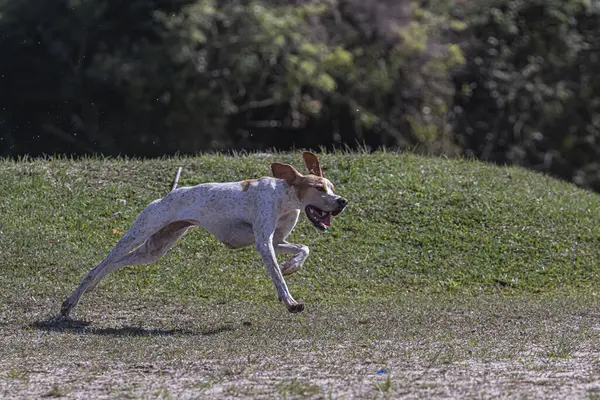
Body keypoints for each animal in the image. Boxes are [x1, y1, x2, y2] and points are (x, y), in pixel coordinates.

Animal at [58, 152, 350, 318]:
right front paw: (290, 301)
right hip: (137, 234)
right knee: (98, 266)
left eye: (332, 188)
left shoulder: (275, 241)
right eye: (319, 188)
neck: (283, 197)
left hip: (154, 249)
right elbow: (277, 278)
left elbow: (303, 249)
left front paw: (292, 266)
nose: (342, 201)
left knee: (113, 265)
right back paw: (71, 301)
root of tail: (168, 194)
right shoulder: (264, 244)